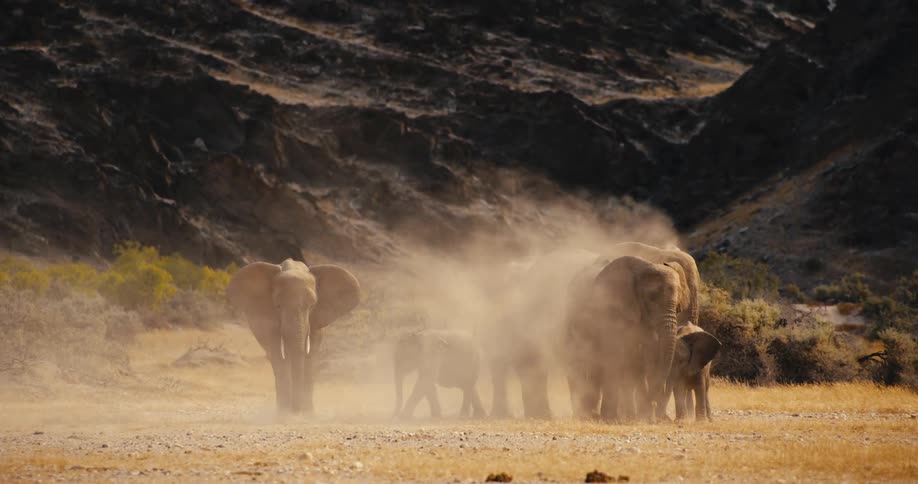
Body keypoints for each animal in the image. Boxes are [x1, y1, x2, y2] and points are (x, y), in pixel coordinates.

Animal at [225, 259, 360, 414]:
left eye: (312, 306)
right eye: (277, 306)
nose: (296, 410)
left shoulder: (316, 322)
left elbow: (310, 357)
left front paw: (308, 414)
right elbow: (278, 356)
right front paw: (284, 414)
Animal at [563, 255, 689, 422]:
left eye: (677, 303)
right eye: (651, 298)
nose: (654, 402)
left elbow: (645, 357)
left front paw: (642, 418)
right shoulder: (611, 310)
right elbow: (615, 357)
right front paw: (612, 420)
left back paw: (595, 415)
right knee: (579, 362)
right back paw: (584, 416)